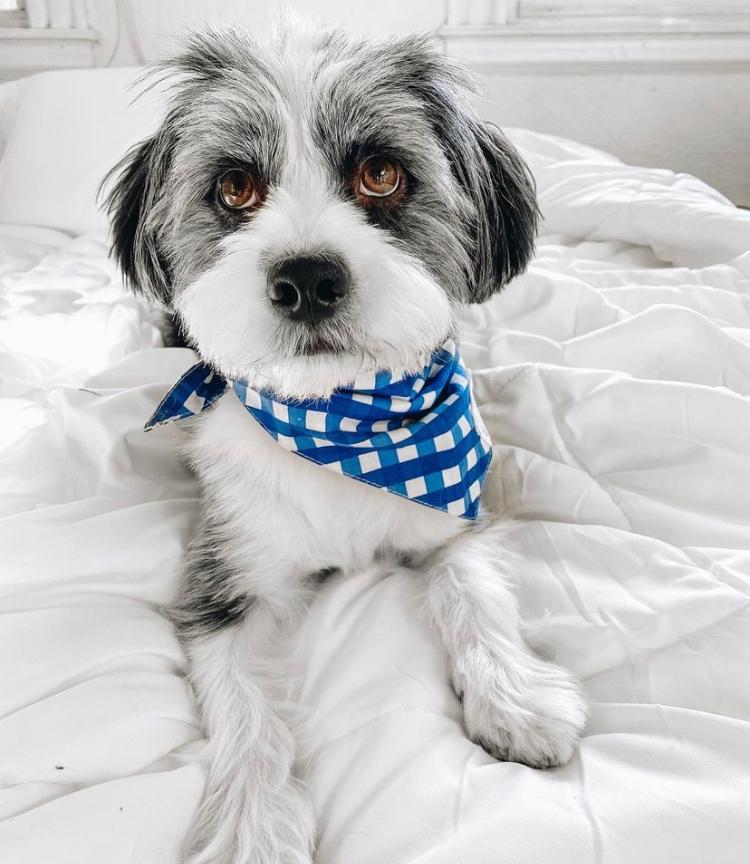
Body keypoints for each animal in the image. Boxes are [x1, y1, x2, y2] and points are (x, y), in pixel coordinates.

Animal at [106, 18, 592, 864]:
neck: (344, 424)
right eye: (235, 187)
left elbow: (474, 588)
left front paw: (516, 698)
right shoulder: (221, 575)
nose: (307, 279)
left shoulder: (458, 515)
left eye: (381, 174)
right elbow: (243, 705)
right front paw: (254, 821)